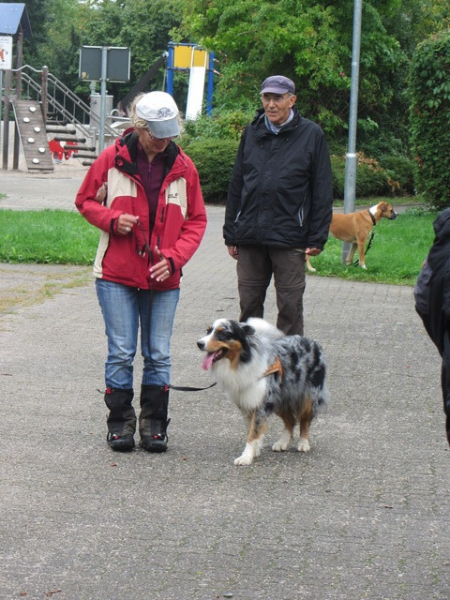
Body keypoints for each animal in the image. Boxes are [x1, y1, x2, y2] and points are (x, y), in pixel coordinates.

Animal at [197, 318, 329, 466]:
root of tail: (311, 342)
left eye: (222, 333)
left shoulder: (260, 404)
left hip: (308, 396)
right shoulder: (246, 404)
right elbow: (251, 430)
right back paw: (282, 442)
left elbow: (253, 432)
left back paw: (303, 443)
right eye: (208, 331)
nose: (199, 343)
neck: (242, 361)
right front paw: (255, 450)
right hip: (279, 398)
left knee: (305, 420)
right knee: (290, 420)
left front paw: (246, 457)